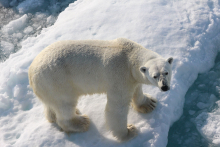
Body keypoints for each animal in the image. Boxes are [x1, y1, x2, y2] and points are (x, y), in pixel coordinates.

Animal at [28, 38, 173, 141]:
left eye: (166, 72)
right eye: (155, 76)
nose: (164, 87)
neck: (129, 55)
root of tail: (31, 73)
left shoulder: (132, 78)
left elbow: (137, 90)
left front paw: (149, 103)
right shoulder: (119, 77)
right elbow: (116, 108)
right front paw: (128, 132)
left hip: (48, 87)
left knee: (51, 104)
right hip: (57, 81)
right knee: (65, 105)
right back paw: (81, 122)